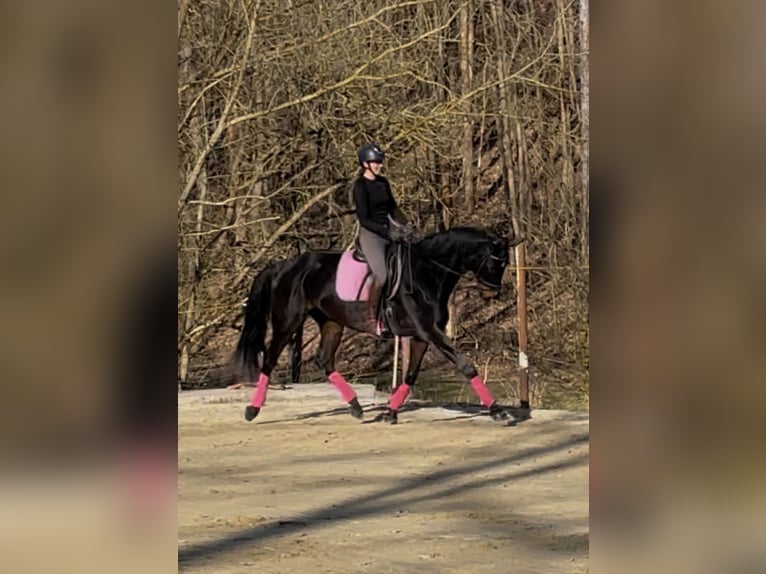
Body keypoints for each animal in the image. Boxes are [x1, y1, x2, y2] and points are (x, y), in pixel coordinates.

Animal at [234, 227, 524, 426]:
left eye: (506, 262)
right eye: (494, 261)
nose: (492, 294)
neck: (428, 274)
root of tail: (283, 265)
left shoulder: (420, 336)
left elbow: (410, 376)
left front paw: (390, 413)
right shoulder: (430, 332)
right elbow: (465, 365)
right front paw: (498, 411)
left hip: (331, 322)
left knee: (323, 360)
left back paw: (356, 407)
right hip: (288, 321)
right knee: (270, 359)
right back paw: (252, 410)